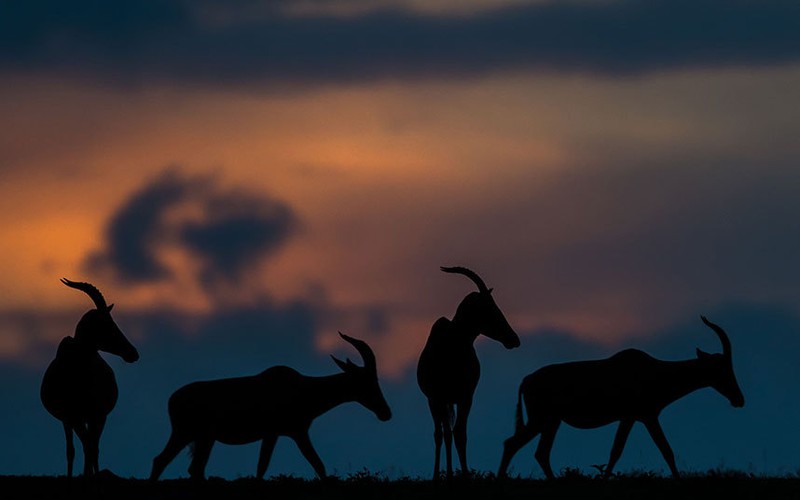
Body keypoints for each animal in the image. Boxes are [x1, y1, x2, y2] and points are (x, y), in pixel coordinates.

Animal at [40, 278, 140, 476]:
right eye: (106, 323)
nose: (133, 353)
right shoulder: (72, 416)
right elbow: (80, 447)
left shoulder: (98, 415)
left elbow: (92, 447)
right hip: (73, 420)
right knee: (77, 447)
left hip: (93, 418)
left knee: (93, 445)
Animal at [148, 332, 392, 480]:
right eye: (367, 381)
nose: (386, 413)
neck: (303, 387)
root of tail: (173, 399)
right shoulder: (290, 433)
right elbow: (314, 465)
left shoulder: (280, 434)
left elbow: (267, 467)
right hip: (188, 434)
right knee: (165, 461)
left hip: (201, 438)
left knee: (187, 466)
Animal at [416, 266, 520, 480]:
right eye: (490, 308)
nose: (513, 339)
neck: (454, 343)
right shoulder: (438, 397)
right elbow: (445, 434)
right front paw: (442, 475)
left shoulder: (466, 397)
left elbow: (461, 434)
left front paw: (464, 474)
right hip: (436, 401)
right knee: (441, 433)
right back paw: (442, 474)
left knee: (450, 431)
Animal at [496, 316, 748, 480]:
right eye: (723, 369)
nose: (739, 399)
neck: (656, 371)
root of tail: (527, 380)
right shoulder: (645, 417)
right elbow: (663, 449)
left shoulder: (631, 419)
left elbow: (617, 451)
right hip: (542, 420)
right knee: (513, 443)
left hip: (552, 422)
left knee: (539, 452)